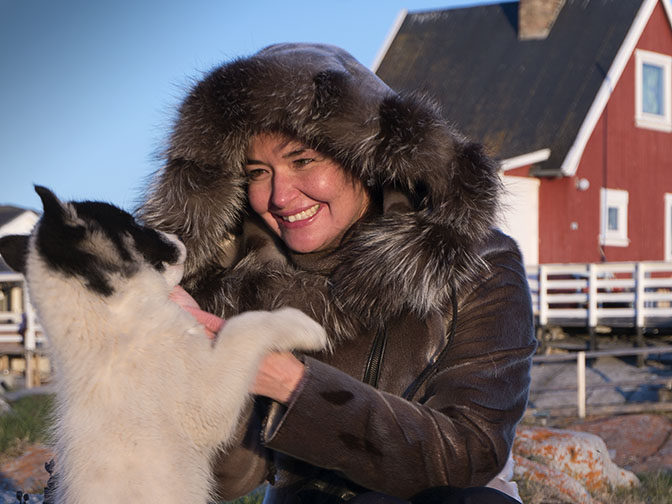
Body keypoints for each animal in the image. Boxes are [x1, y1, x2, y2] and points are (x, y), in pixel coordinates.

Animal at [0, 187, 328, 504]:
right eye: (133, 227)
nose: (177, 238)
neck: (115, 320)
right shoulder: (206, 405)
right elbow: (244, 326)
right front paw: (304, 326)